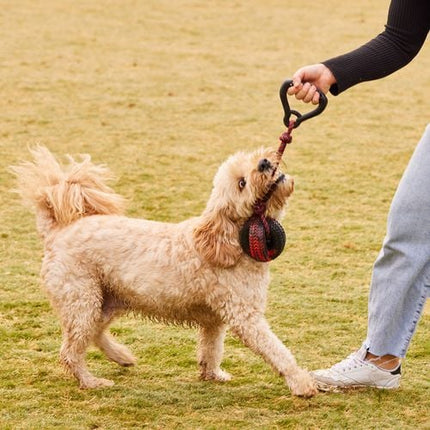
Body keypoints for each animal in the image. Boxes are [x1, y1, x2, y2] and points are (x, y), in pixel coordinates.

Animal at [11, 147, 318, 396]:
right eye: (242, 183)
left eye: (251, 161)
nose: (265, 162)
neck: (229, 241)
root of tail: (56, 232)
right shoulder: (246, 318)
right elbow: (277, 351)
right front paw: (301, 383)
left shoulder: (214, 320)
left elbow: (211, 349)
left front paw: (212, 374)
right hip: (82, 299)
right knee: (70, 351)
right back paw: (91, 381)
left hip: (105, 300)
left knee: (92, 335)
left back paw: (122, 356)